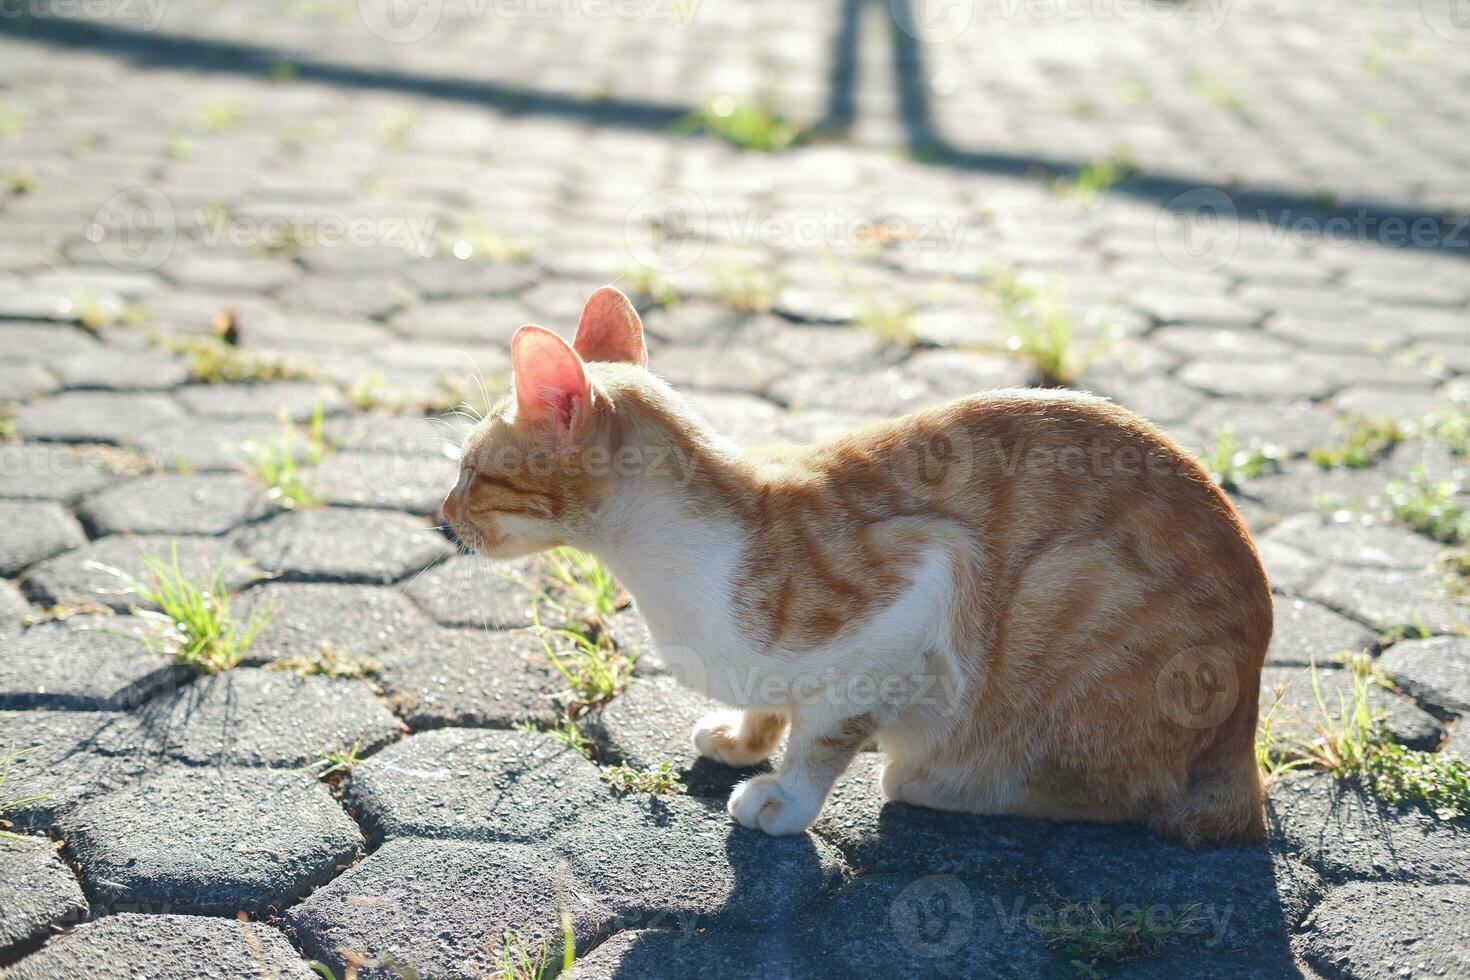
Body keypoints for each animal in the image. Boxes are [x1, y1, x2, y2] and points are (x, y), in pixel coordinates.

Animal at [438, 287, 1275, 846]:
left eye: (472, 471)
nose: (441, 515)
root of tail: (1244, 740)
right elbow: (770, 703)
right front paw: (745, 738)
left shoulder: (923, 583)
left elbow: (822, 737)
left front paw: (782, 798)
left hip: (1066, 588)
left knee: (1136, 800)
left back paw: (940, 782)